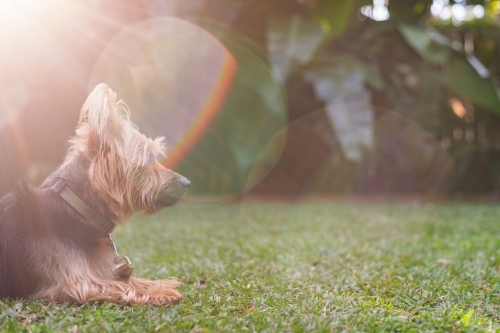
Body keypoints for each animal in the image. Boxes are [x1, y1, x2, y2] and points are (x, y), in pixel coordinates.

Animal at [0, 83, 190, 304]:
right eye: (149, 158)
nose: (188, 183)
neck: (78, 208)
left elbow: (130, 279)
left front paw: (159, 283)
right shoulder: (75, 284)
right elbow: (119, 286)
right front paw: (161, 293)